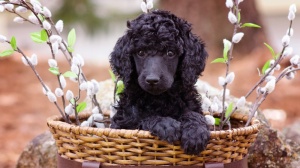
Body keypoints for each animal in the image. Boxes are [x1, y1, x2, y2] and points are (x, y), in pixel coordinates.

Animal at [109, 10, 210, 155]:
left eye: (170, 53)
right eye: (140, 52)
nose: (152, 80)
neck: (160, 99)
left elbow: (194, 114)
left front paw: (195, 132)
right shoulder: (122, 124)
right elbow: (142, 119)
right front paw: (166, 124)